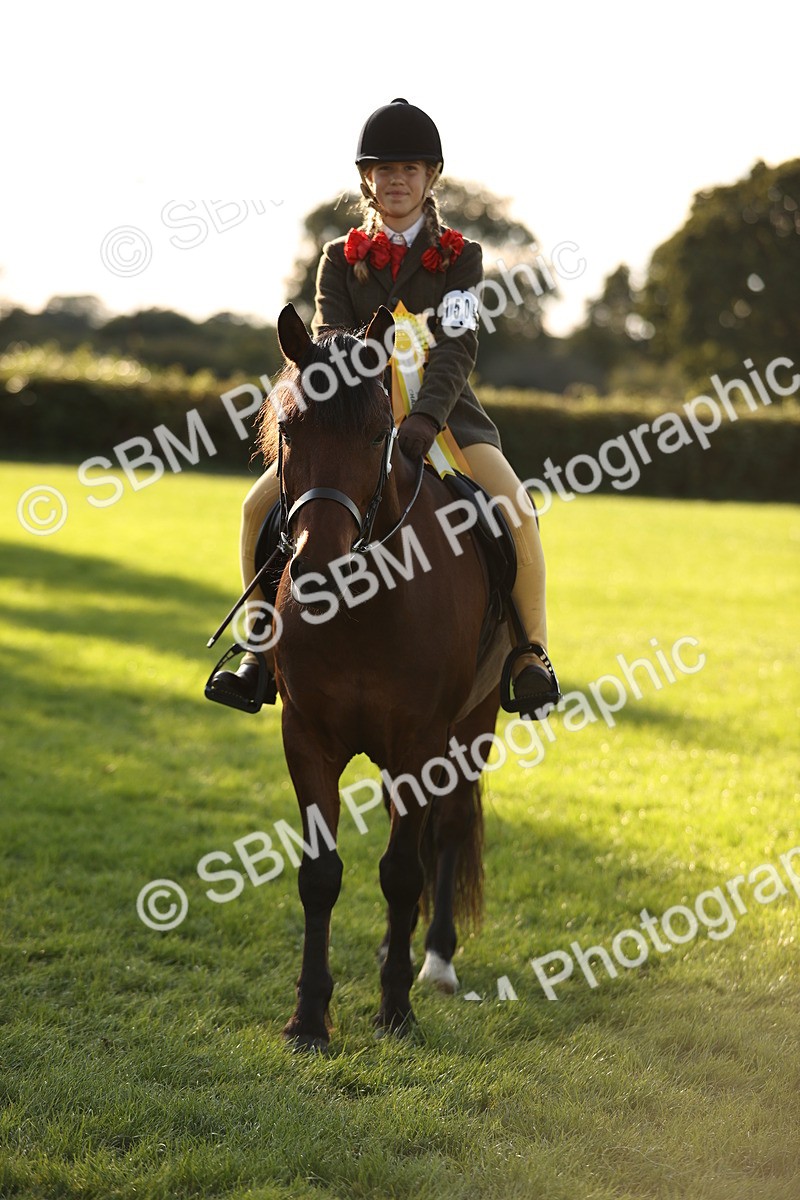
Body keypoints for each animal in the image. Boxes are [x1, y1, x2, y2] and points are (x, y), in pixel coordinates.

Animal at [257, 303, 504, 1051]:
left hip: (473, 728)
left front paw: (395, 1009)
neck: (365, 603)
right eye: (290, 429)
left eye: (376, 435)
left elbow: (400, 872)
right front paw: (309, 1018)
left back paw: (437, 963)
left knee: (446, 832)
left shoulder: (421, 745)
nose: (316, 568)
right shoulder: (306, 737)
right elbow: (320, 874)